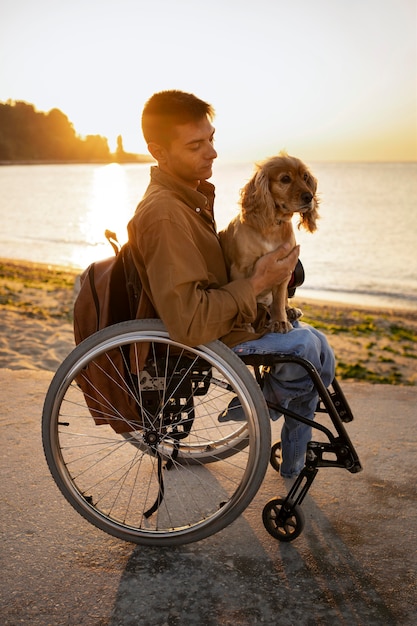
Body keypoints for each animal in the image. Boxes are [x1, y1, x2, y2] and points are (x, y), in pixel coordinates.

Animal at [218, 152, 318, 332]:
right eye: (285, 179)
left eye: (305, 177)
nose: (309, 197)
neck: (273, 225)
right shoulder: (240, 269)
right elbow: (246, 298)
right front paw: (244, 326)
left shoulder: (284, 268)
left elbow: (279, 299)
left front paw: (280, 320)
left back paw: (289, 310)